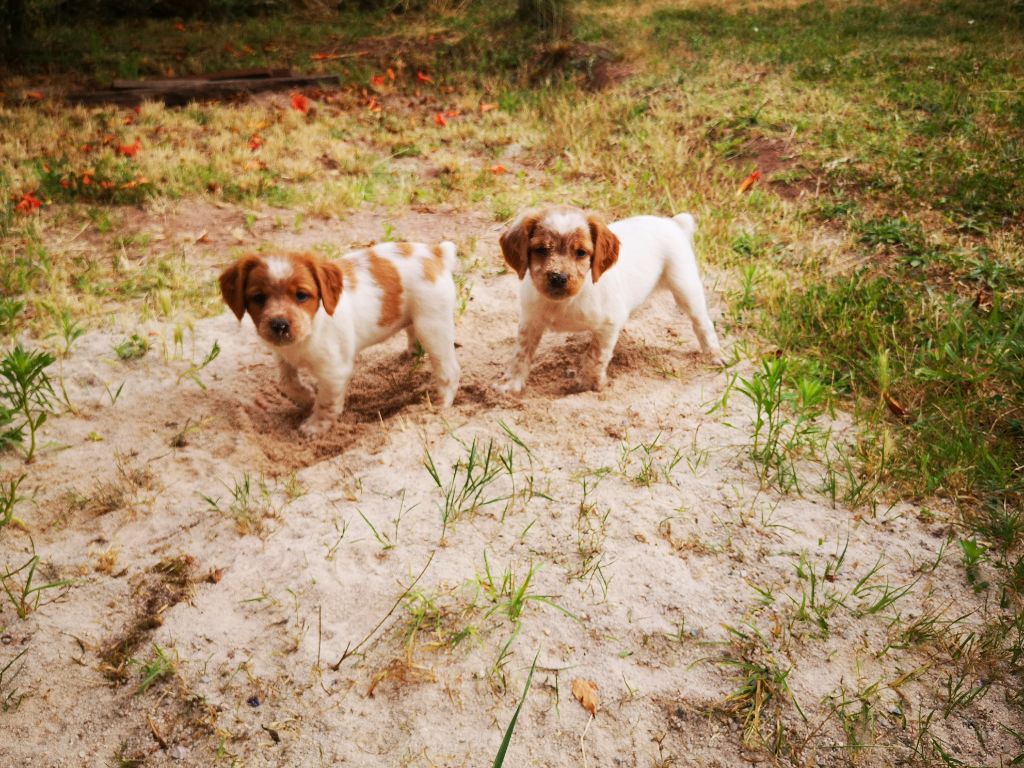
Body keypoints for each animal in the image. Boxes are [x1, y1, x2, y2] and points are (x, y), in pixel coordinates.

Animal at [219, 242, 460, 437]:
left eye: (301, 295)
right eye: (258, 297)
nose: (279, 325)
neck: (311, 329)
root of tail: (436, 252)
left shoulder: (334, 372)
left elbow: (326, 403)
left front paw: (314, 427)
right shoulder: (284, 356)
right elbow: (287, 383)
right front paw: (307, 398)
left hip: (432, 326)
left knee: (449, 370)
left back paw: (440, 405)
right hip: (417, 319)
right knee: (413, 335)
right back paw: (410, 354)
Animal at [495, 205, 724, 393]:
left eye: (581, 252)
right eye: (541, 249)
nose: (558, 278)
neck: (565, 302)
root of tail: (672, 222)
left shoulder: (608, 325)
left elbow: (596, 356)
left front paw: (589, 385)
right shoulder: (530, 321)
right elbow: (520, 354)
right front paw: (510, 385)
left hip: (685, 286)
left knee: (702, 323)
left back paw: (714, 355)